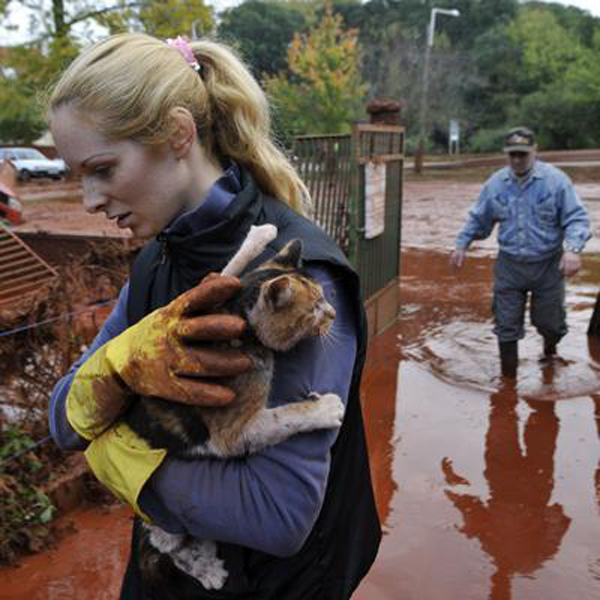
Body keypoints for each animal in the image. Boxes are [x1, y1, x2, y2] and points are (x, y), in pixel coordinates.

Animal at [124, 231, 344, 592]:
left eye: (325, 297)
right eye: (314, 308)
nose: (335, 313)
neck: (237, 314)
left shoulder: (199, 310)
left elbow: (225, 272)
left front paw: (260, 235)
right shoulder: (232, 432)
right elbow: (287, 415)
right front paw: (324, 407)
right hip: (162, 523)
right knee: (170, 548)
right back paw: (209, 572)